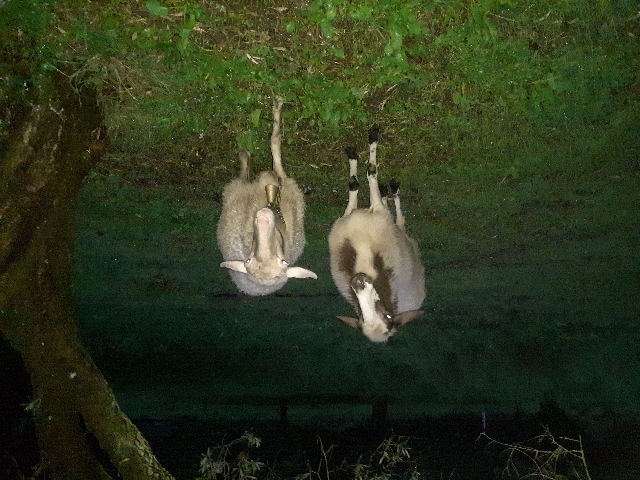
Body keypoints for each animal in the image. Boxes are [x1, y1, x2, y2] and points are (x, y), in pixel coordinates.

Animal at [328, 126, 425, 342]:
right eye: (362, 319)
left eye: (388, 317)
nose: (359, 282)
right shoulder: (348, 218)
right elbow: (355, 183)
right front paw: (354, 154)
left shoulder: (378, 213)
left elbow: (370, 172)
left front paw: (372, 137)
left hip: (403, 237)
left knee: (400, 220)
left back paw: (392, 191)